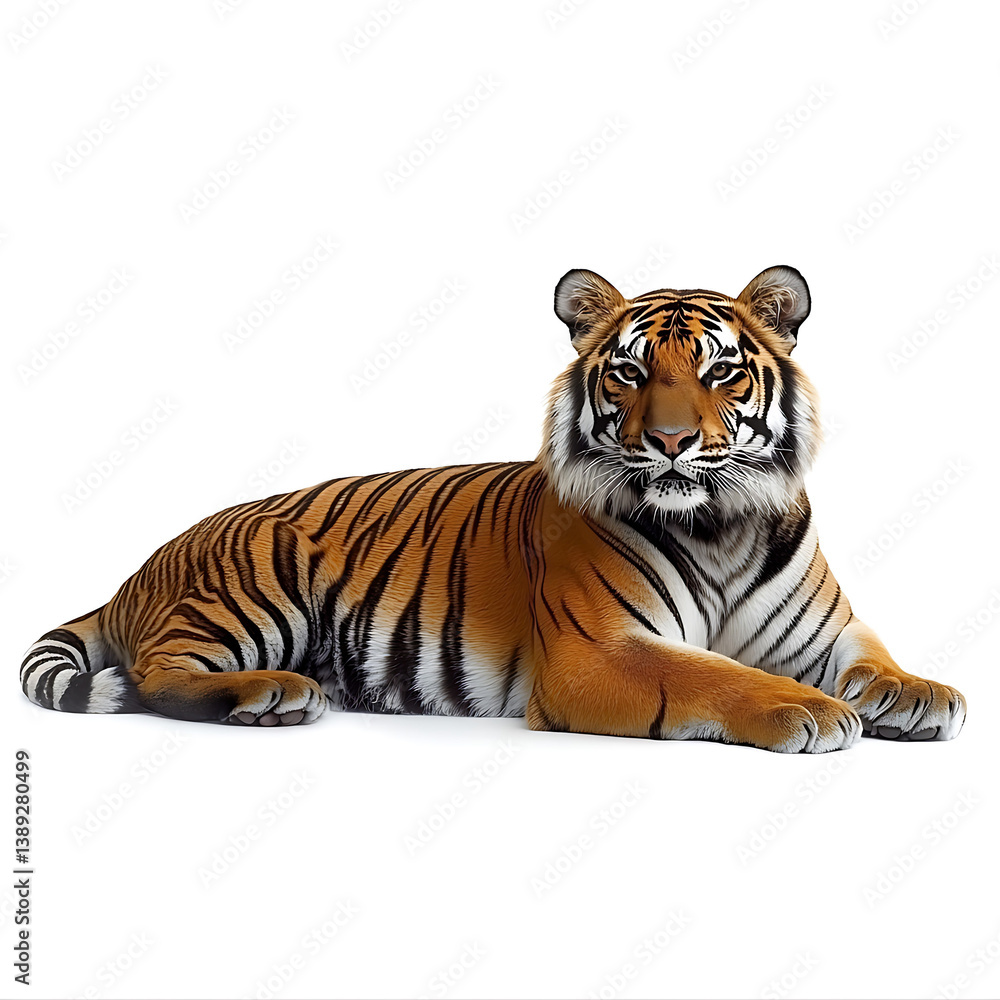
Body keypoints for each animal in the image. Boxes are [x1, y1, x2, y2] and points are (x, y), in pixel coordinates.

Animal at [20, 265, 967, 751]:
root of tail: (141, 569)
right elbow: (715, 674)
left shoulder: (827, 633)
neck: (720, 523)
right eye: (630, 372)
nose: (669, 441)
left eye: (721, 372)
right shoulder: (598, 651)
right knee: (155, 677)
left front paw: (925, 694)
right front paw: (810, 711)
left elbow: (875, 661)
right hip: (255, 582)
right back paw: (275, 695)